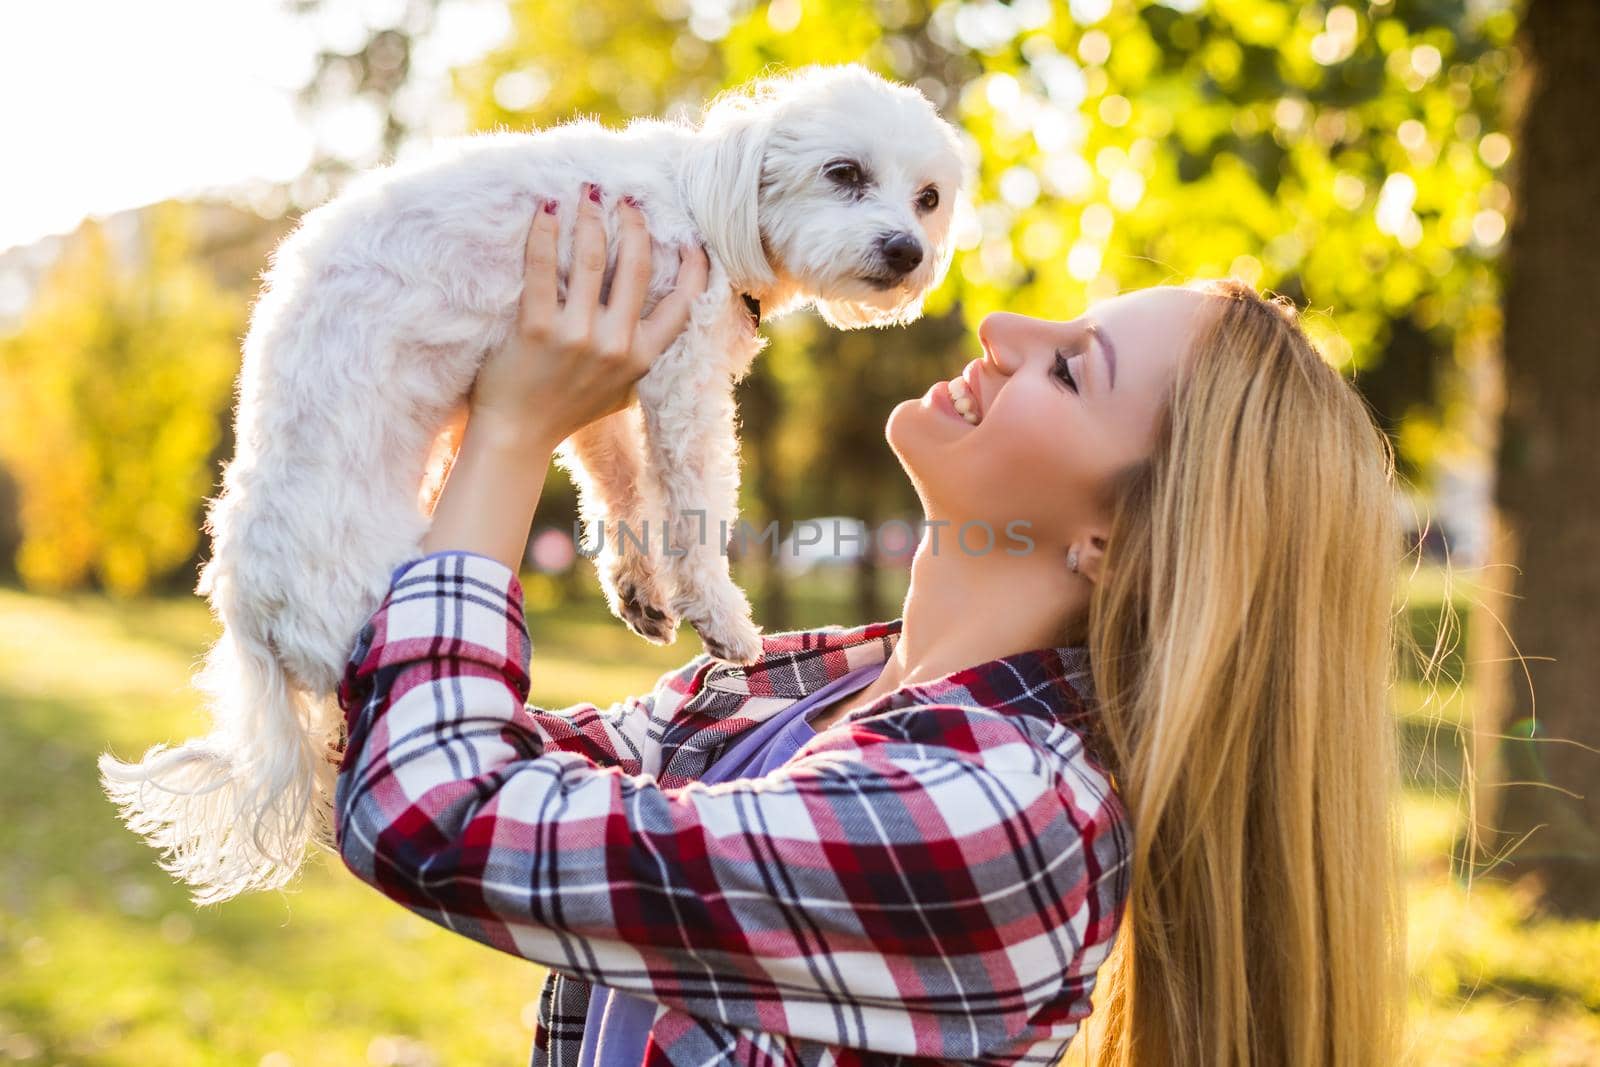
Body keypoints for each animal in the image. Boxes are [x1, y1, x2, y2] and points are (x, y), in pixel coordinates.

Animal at [96, 62, 960, 908]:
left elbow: (618, 489)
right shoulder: (680, 378)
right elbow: (692, 505)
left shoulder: (609, 385)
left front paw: (639, 588)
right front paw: (722, 619)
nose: (906, 250)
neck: (705, 201)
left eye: (929, 198)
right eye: (843, 173)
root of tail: (251, 617)